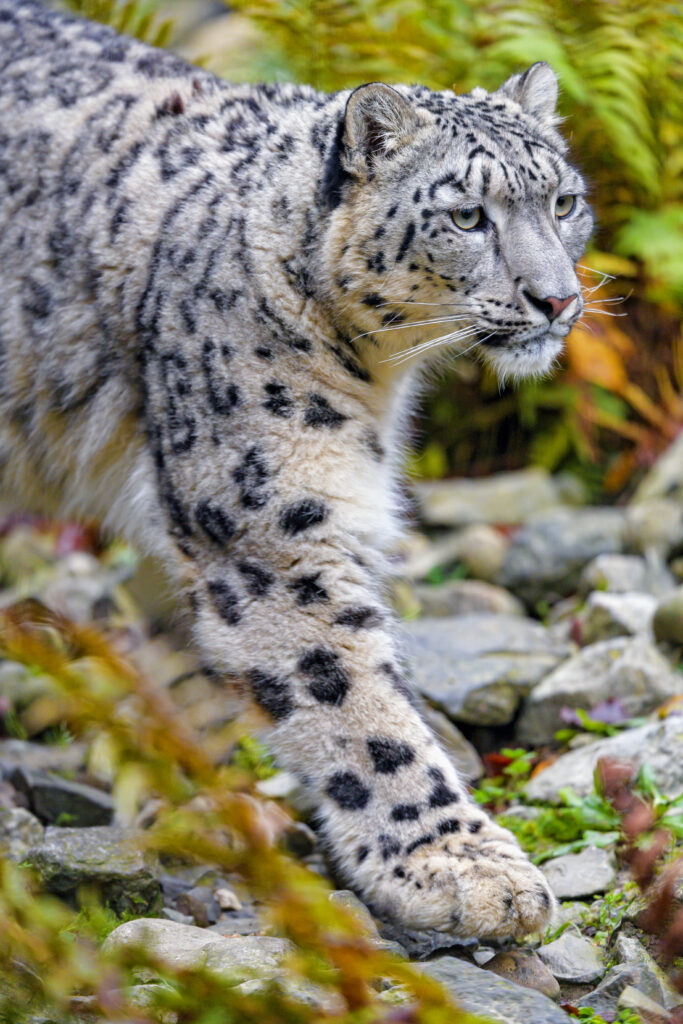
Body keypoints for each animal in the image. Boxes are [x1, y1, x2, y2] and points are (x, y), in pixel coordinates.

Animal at [0, 0, 593, 940]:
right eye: (467, 216)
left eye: (564, 201)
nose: (557, 299)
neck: (377, 381)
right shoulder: (267, 527)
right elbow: (354, 703)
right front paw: (461, 867)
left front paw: (199, 807)